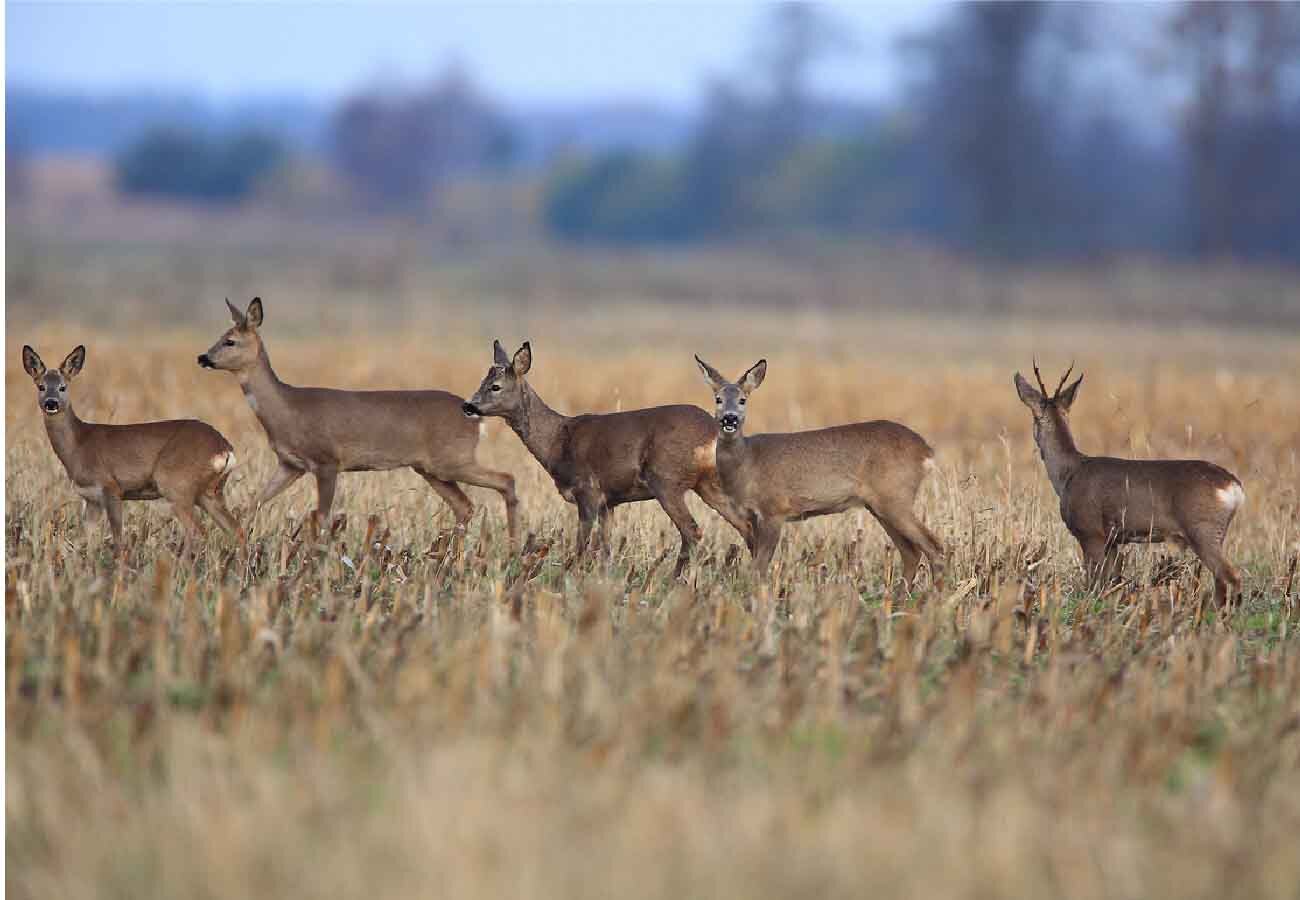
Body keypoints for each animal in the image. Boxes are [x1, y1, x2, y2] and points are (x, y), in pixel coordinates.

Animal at [20, 343, 241, 548]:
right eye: (40, 386)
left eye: (63, 387)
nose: (51, 403)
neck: (79, 446)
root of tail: (224, 449)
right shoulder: (92, 500)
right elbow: (88, 540)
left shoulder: (111, 488)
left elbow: (118, 539)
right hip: (210, 492)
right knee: (236, 530)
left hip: (177, 485)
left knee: (197, 531)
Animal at [197, 296, 517, 541]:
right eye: (219, 337)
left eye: (230, 341)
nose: (203, 358)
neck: (287, 410)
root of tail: (475, 417)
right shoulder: (290, 464)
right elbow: (252, 504)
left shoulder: (327, 461)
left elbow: (321, 518)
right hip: (432, 469)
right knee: (465, 505)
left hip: (452, 459)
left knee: (506, 479)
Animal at [465, 338, 754, 577]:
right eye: (482, 381)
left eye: (495, 386)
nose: (468, 405)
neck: (557, 441)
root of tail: (713, 431)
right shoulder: (609, 501)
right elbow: (605, 550)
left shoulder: (588, 491)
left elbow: (582, 547)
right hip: (709, 484)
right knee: (745, 525)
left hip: (666, 480)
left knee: (692, 530)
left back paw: (676, 580)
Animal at [691, 356, 946, 587]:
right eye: (718, 399)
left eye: (743, 400)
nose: (730, 418)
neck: (748, 463)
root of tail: (925, 450)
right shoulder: (753, 516)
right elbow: (757, 564)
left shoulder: (775, 509)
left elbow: (759, 567)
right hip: (881, 505)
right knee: (911, 551)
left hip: (895, 497)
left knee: (934, 546)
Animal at [1008, 361, 1242, 608]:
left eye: (1034, 418)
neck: (1069, 473)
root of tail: (1233, 486)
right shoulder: (1113, 539)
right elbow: (1112, 582)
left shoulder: (1090, 531)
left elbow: (1095, 584)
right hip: (1217, 532)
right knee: (1222, 582)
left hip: (1202, 529)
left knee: (1231, 577)